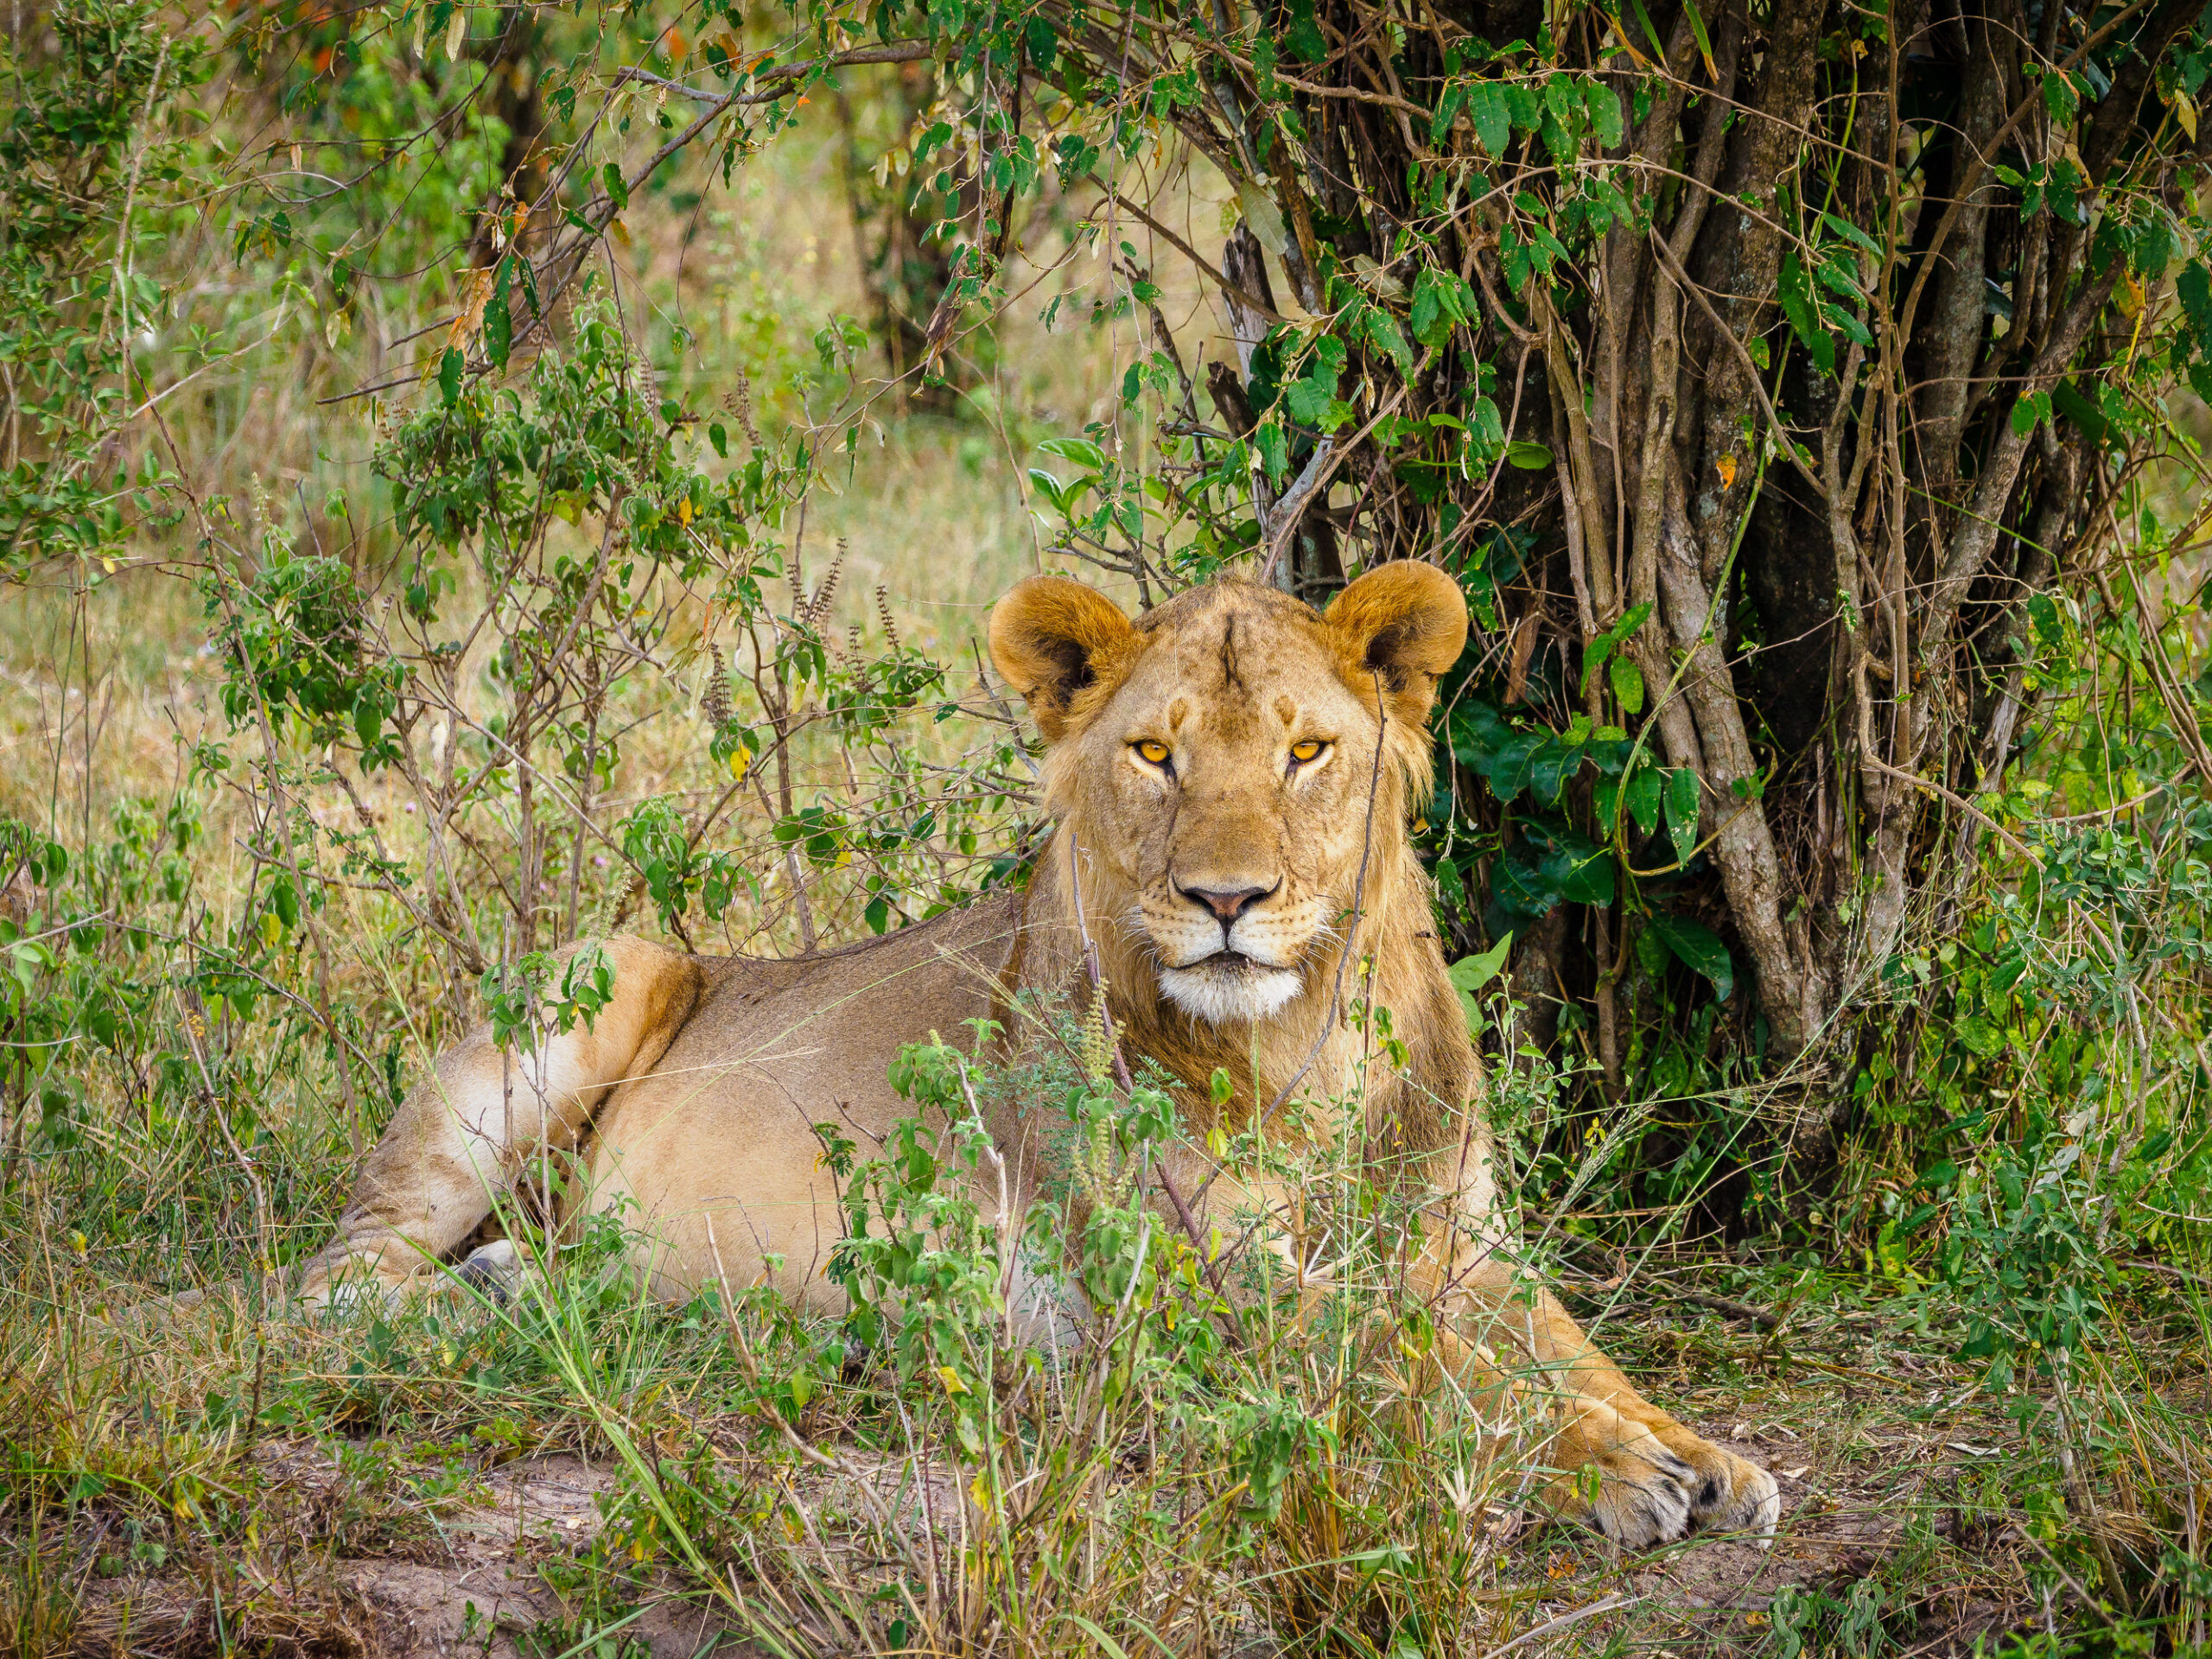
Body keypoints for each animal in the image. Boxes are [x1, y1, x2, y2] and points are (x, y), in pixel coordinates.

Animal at [294, 566, 1778, 1557]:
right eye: (1154, 752)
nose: (1228, 902)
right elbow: (1409, 1367)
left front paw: (1705, 1454)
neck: (1302, 1050)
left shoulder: (1461, 1244)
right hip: (590, 979)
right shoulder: (1195, 1283)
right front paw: (1613, 1472)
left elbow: (1570, 1351)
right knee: (331, 1286)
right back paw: (565, 1316)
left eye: (1307, 750)